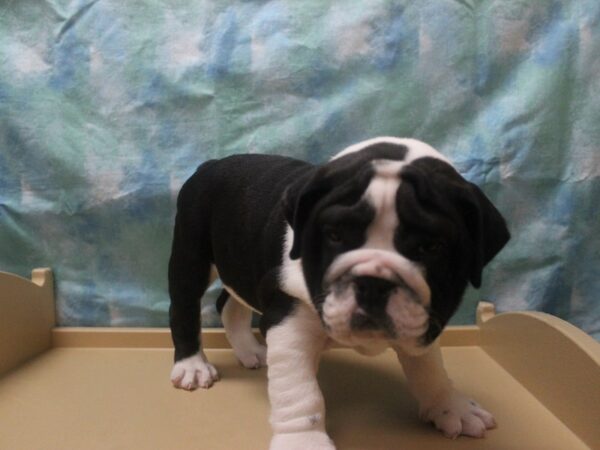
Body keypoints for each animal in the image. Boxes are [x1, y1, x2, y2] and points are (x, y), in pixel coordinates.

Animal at [169, 137, 510, 450]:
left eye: (431, 247)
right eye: (335, 235)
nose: (374, 282)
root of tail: (211, 164)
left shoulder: (423, 323)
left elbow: (431, 370)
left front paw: (451, 407)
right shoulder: (289, 326)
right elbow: (301, 394)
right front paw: (304, 442)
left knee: (230, 303)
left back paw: (249, 350)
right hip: (191, 254)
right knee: (184, 307)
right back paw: (192, 366)